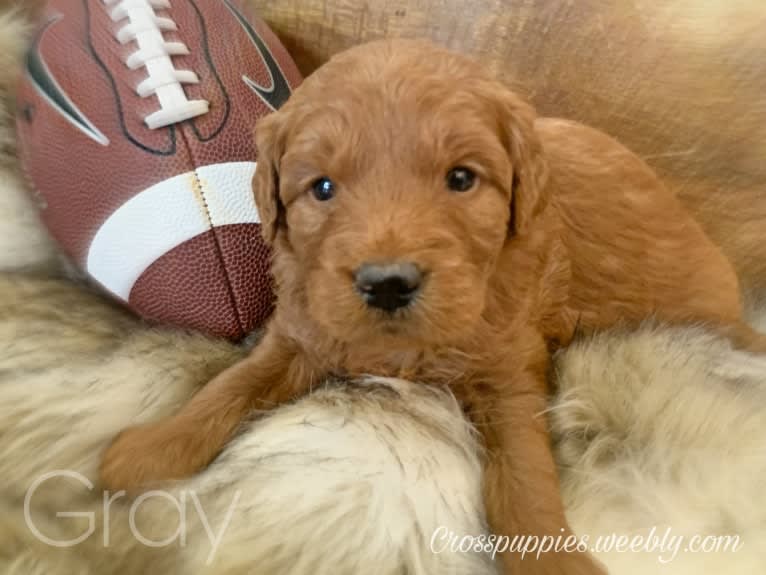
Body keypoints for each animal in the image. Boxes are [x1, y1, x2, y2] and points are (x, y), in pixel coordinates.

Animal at [99, 38, 760, 572]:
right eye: (322, 188)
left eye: (462, 179)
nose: (388, 283)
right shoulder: (303, 328)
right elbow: (232, 385)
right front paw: (153, 447)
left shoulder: (510, 367)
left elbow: (522, 478)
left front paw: (554, 561)